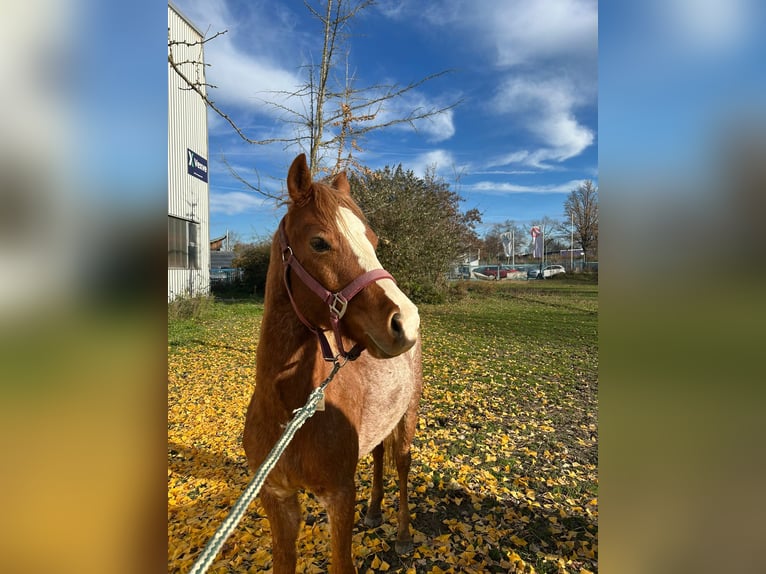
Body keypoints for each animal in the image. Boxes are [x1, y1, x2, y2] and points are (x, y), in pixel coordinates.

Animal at [243, 154, 423, 574]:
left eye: (373, 241)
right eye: (319, 243)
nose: (406, 320)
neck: (290, 414)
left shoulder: (339, 497)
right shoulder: (277, 499)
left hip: (407, 416)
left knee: (401, 464)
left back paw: (404, 534)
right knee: (378, 455)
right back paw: (373, 512)